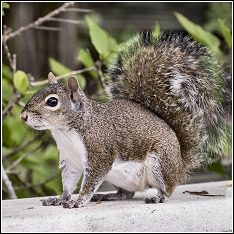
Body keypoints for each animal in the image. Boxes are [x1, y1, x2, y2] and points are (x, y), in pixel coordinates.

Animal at [20, 31, 229, 208]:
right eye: (36, 93)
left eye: (52, 101)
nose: (23, 115)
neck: (66, 131)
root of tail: (180, 164)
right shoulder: (70, 160)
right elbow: (68, 183)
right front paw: (60, 198)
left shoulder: (99, 153)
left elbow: (89, 184)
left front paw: (77, 201)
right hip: (118, 177)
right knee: (127, 193)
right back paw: (109, 195)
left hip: (160, 162)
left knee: (167, 188)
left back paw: (158, 197)